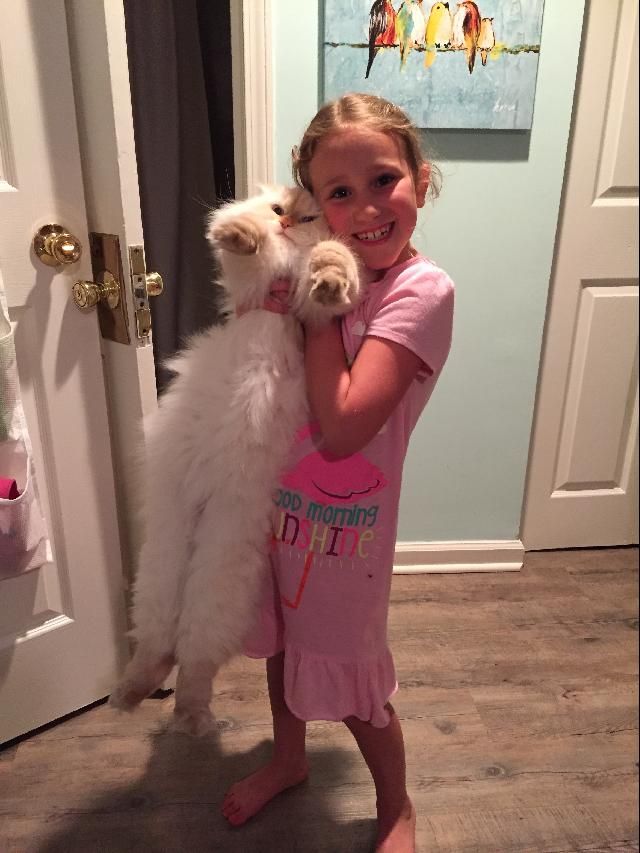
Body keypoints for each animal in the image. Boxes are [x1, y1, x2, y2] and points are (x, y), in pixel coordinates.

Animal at [110, 185, 360, 732]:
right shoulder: (250, 282)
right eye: (278, 210)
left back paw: (185, 718)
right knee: (159, 648)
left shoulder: (309, 312)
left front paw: (330, 280)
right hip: (165, 560)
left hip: (216, 574)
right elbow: (243, 249)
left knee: (191, 660)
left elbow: (333, 263)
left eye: (307, 217)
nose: (285, 223)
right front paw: (236, 232)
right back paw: (129, 699)